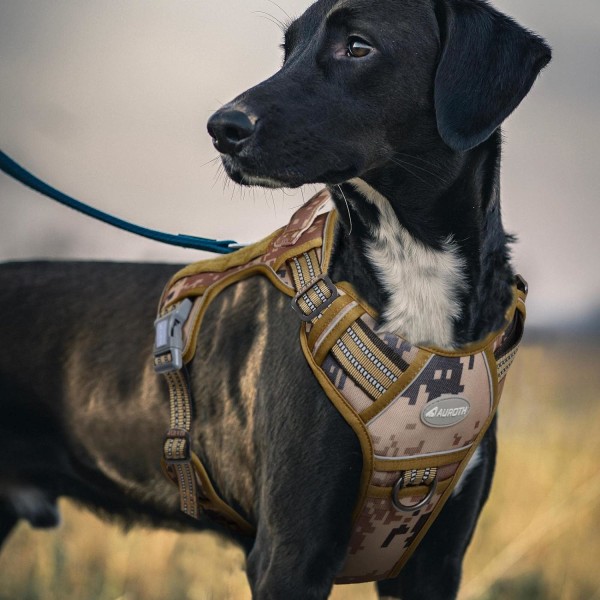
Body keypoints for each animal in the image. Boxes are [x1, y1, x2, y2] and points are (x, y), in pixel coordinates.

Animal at [0, 0, 548, 596]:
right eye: (288, 51)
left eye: (358, 46)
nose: (222, 128)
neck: (412, 269)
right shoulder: (289, 554)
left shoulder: (434, 562)